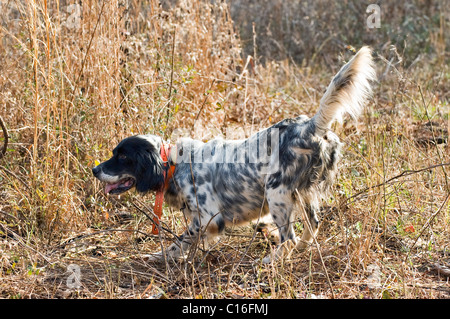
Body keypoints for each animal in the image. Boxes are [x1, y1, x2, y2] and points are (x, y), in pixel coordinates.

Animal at [92, 46, 376, 264]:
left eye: (122, 157)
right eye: (115, 153)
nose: (94, 169)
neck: (174, 164)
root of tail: (309, 126)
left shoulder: (209, 218)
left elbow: (180, 240)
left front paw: (160, 256)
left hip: (277, 194)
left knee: (289, 238)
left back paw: (271, 260)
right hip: (301, 194)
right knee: (312, 225)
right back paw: (303, 250)